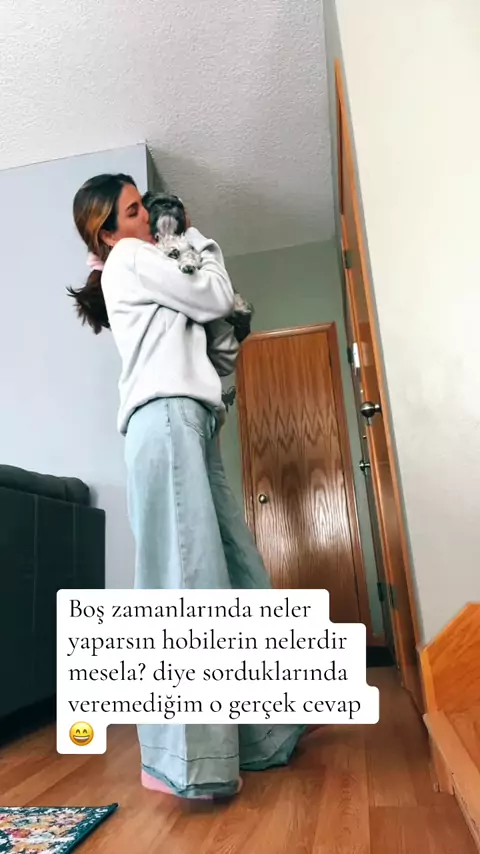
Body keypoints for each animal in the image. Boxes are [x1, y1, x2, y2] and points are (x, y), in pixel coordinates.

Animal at [142, 191, 254, 343]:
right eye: (157, 203)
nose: (169, 205)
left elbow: (189, 255)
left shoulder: (192, 252)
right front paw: (170, 251)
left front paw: (186, 263)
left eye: (177, 205)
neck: (169, 234)